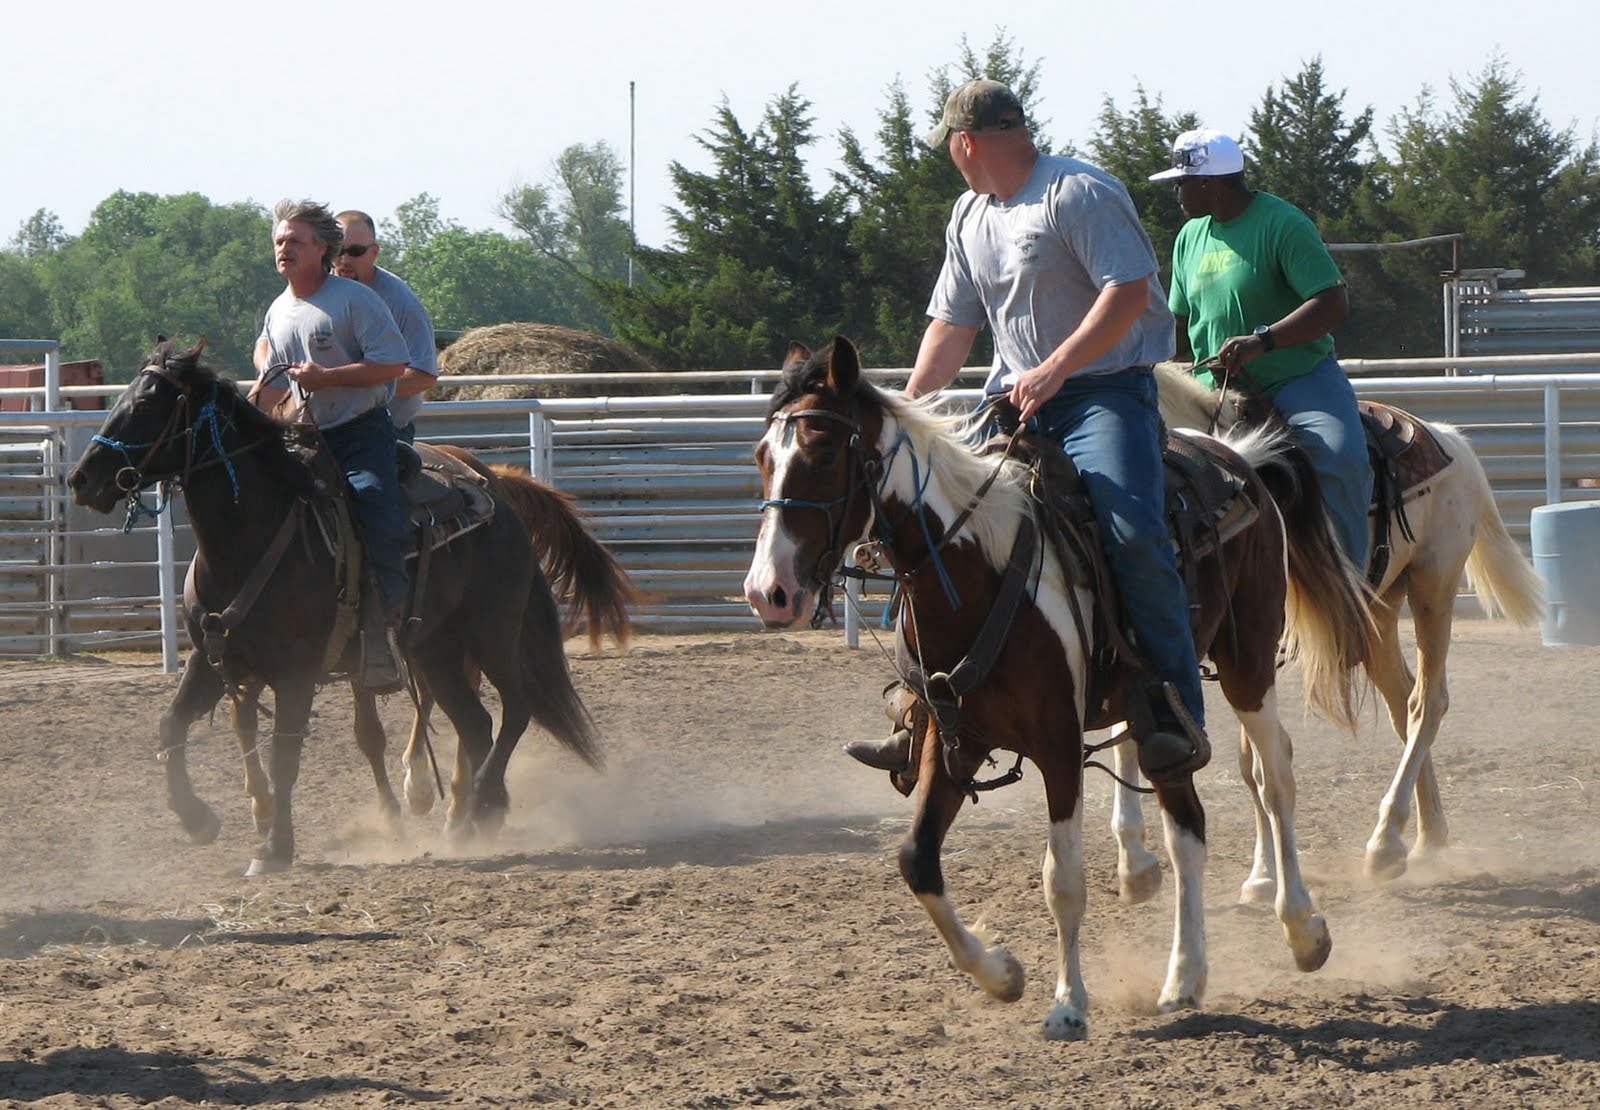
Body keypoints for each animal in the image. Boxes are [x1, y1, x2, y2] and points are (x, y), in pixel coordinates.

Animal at [66, 339, 610, 875]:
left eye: (144, 405)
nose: (80, 478)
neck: (247, 543)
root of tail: (495, 493)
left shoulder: (297, 672)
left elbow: (286, 754)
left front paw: (275, 848)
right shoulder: (211, 659)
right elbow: (172, 724)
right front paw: (197, 818)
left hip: (490, 630)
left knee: (515, 709)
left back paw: (482, 803)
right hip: (434, 647)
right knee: (476, 724)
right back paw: (464, 820)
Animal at [743, 338, 1373, 1038]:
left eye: (824, 454)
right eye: (761, 457)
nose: (769, 593)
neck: (980, 571)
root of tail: (1244, 460)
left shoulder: (1058, 745)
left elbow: (1063, 879)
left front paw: (1068, 1004)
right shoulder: (952, 739)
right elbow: (916, 860)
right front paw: (1002, 974)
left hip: (1248, 662)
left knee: (1275, 773)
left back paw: (1302, 930)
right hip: (1157, 711)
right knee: (1185, 825)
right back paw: (1184, 976)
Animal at [1155, 363, 1546, 881]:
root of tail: (1448, 439)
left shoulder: (1257, 642)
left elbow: (1260, 760)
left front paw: (1267, 874)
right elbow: (1249, 762)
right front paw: (1262, 874)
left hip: (1433, 588)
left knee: (1427, 704)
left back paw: (1386, 842)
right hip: (1378, 613)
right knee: (1404, 703)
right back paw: (1427, 837)